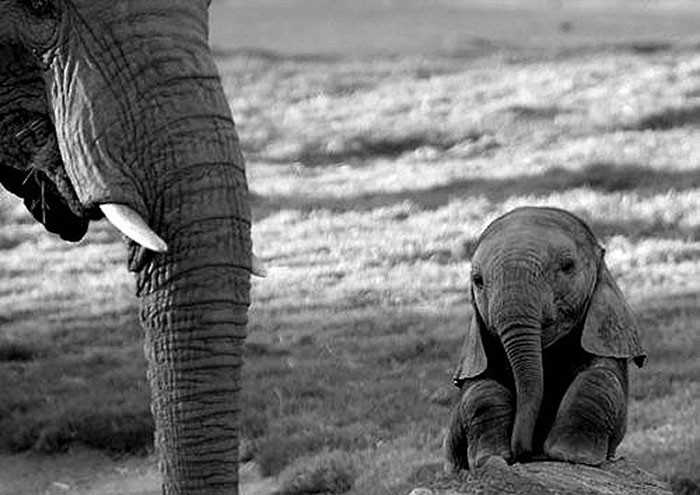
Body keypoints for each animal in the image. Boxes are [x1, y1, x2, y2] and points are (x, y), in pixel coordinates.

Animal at [446, 207, 648, 470]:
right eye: (477, 281)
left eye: (567, 266)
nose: (528, 453)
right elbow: (480, 388)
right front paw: (490, 459)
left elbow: (600, 376)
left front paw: (570, 456)